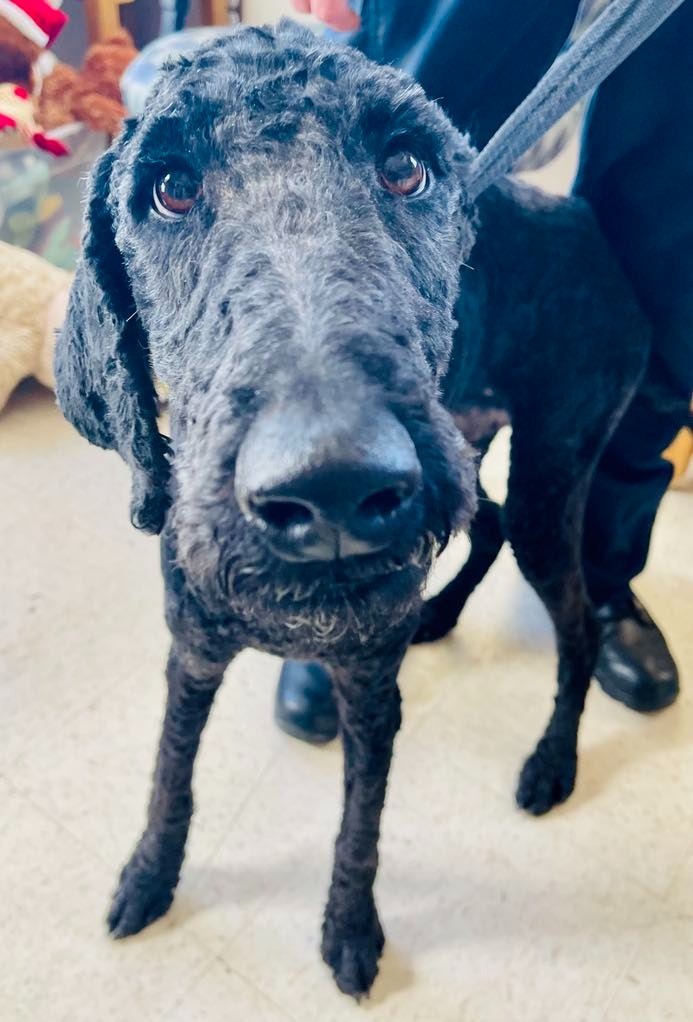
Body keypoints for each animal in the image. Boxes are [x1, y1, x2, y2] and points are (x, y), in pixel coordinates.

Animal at [54, 19, 650, 1001]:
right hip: (478, 440)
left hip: (552, 474)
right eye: (170, 189)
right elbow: (170, 777)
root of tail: (584, 220)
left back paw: (551, 761)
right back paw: (440, 616)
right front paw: (148, 878)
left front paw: (349, 929)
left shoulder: (370, 690)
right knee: (484, 526)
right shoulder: (192, 654)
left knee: (575, 623)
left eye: (405, 167)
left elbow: (358, 828)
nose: (331, 486)